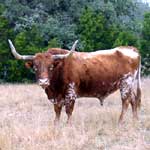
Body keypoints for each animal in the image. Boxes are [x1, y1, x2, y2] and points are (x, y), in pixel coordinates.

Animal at [8, 39, 142, 124]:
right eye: (35, 67)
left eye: (51, 67)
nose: (43, 81)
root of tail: (130, 49)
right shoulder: (56, 97)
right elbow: (57, 112)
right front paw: (56, 125)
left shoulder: (71, 94)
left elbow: (68, 111)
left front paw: (68, 125)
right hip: (130, 85)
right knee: (134, 100)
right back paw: (135, 121)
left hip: (125, 83)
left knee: (126, 102)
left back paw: (120, 121)